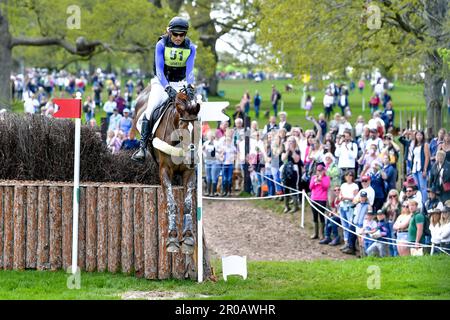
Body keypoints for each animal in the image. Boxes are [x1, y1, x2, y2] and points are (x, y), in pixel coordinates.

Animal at [131, 85, 200, 255]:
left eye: (198, 129)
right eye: (181, 129)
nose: (191, 158)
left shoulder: (189, 173)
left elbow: (187, 203)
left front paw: (188, 238)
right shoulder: (165, 170)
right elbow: (171, 202)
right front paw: (172, 238)